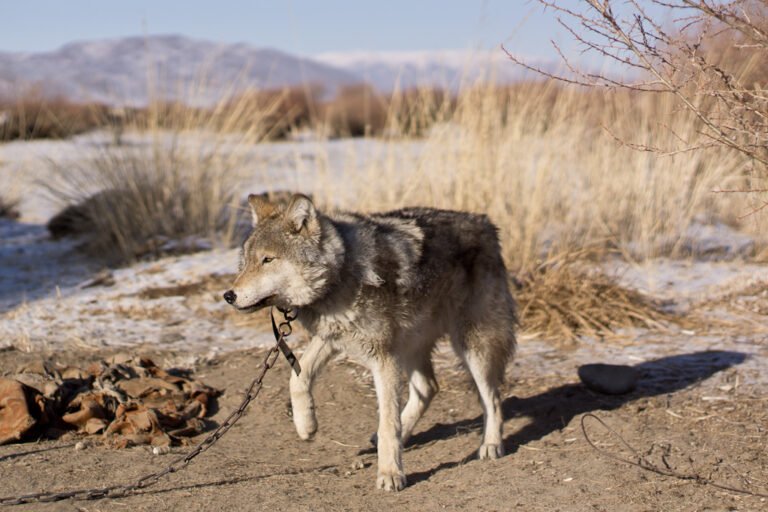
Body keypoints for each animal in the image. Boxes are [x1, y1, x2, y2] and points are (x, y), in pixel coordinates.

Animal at [224, 194, 517, 491]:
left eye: (267, 260)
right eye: (245, 263)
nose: (228, 295)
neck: (342, 274)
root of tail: (485, 222)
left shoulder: (382, 357)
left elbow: (388, 423)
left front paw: (390, 473)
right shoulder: (332, 338)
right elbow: (297, 377)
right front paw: (306, 426)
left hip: (471, 347)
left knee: (492, 398)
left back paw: (491, 445)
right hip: (409, 345)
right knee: (429, 387)